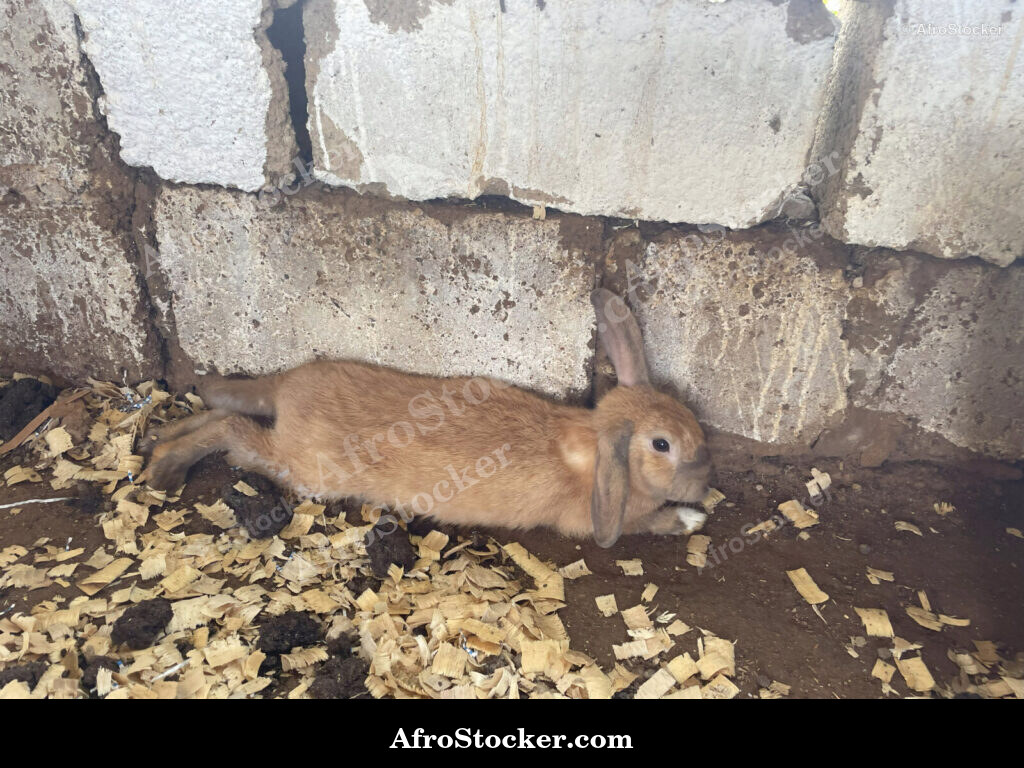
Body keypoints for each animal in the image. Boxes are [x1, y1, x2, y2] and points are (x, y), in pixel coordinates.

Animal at [141, 289, 711, 547]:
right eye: (662, 445)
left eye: (690, 418)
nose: (704, 483)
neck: (595, 448)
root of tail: (286, 386)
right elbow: (641, 523)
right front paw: (688, 519)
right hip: (304, 468)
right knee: (229, 430)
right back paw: (163, 469)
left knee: (217, 411)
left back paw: (155, 440)